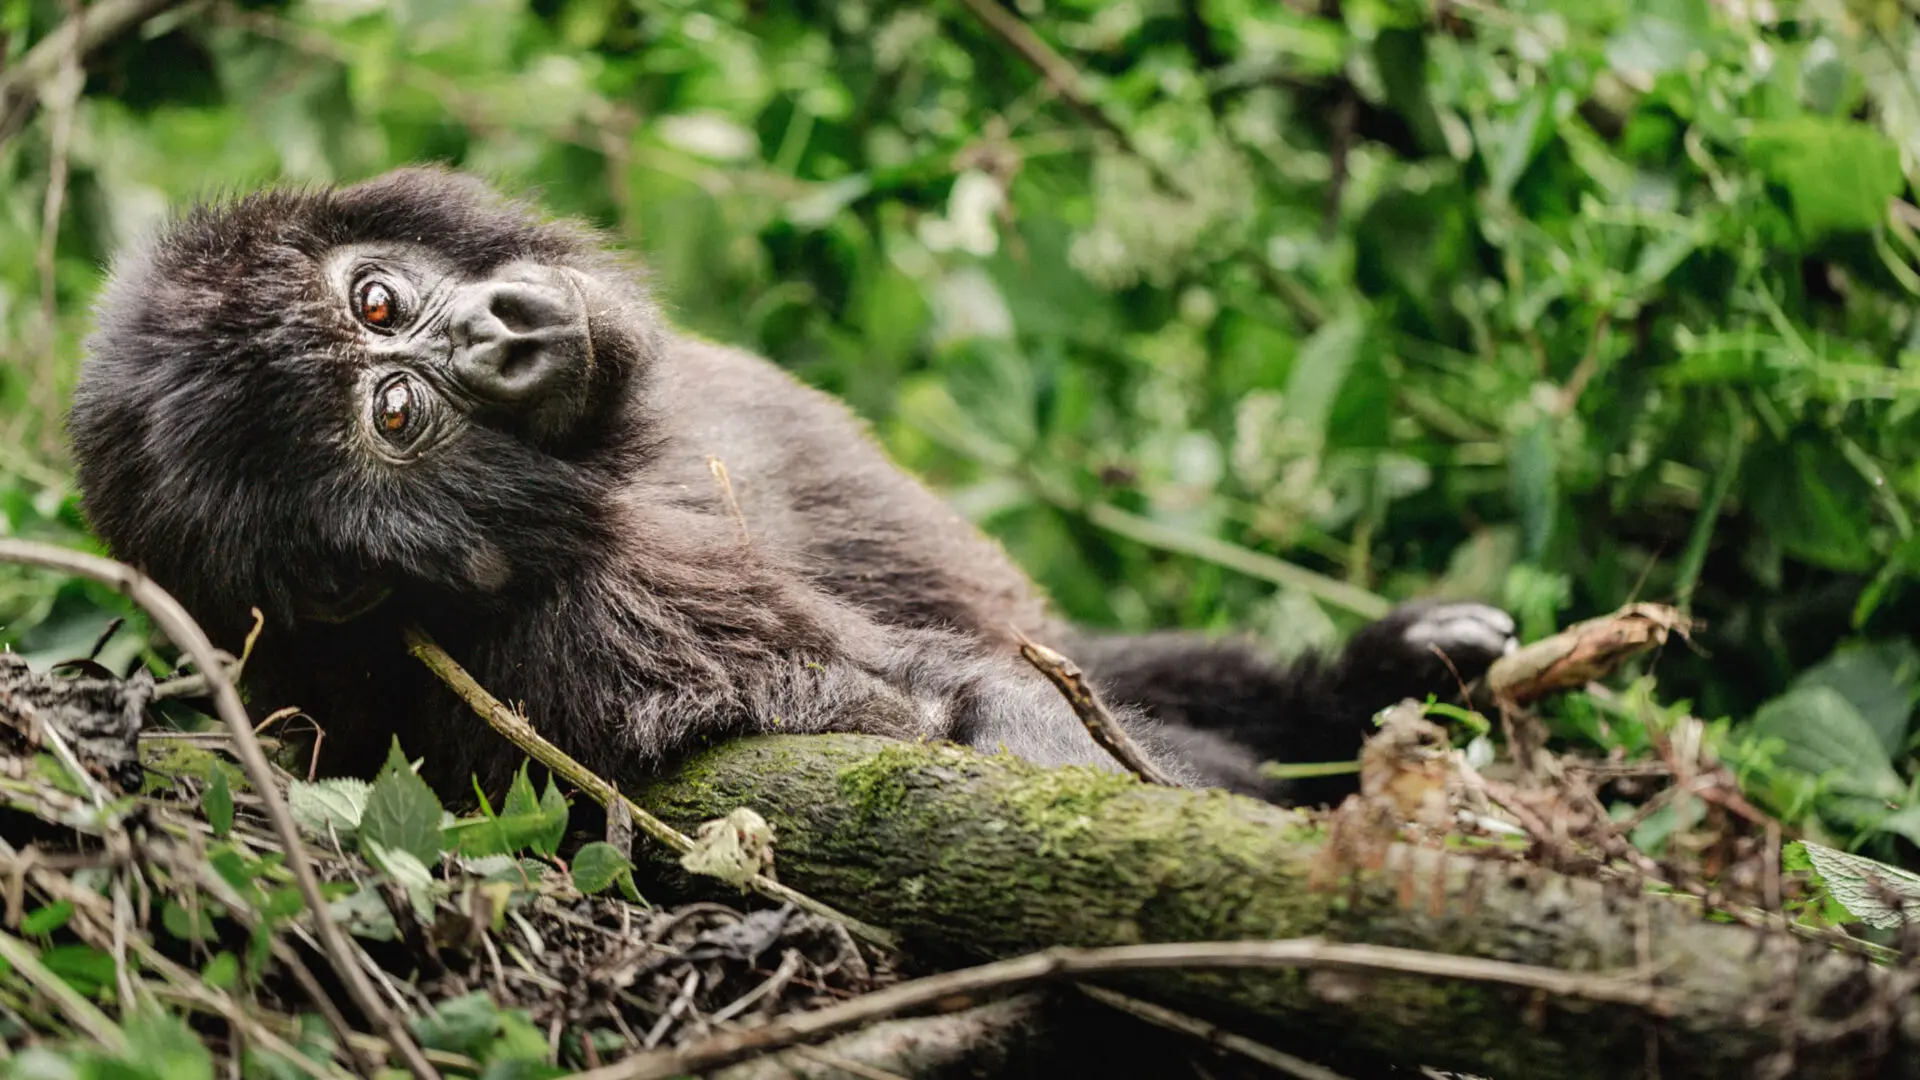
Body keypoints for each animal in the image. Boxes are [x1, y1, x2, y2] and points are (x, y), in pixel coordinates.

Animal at [67, 167, 1516, 805]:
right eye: (397, 414)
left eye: (376, 301)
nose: (498, 335)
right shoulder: (558, 635)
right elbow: (942, 721)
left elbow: (1055, 654)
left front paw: (1381, 671)